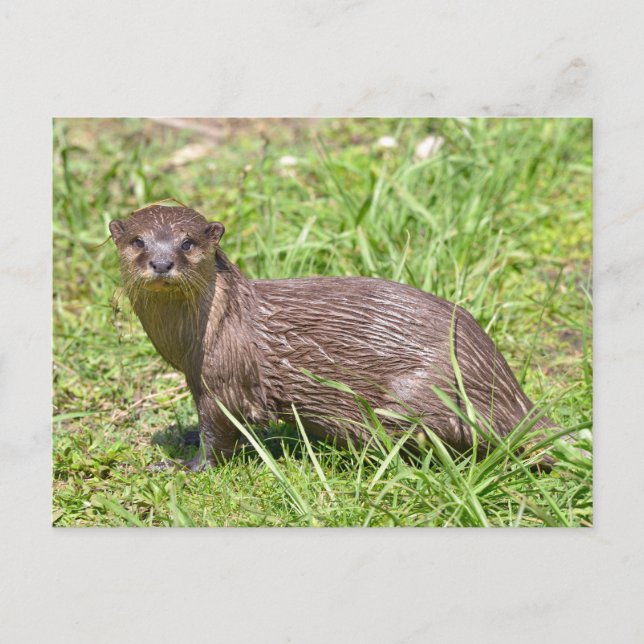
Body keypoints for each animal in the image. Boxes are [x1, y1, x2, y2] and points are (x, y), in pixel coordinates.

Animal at [109, 204, 556, 470]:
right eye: (138, 241)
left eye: (187, 243)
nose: (162, 262)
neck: (192, 340)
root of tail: (506, 386)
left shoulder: (226, 381)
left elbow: (219, 434)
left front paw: (183, 467)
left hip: (420, 393)